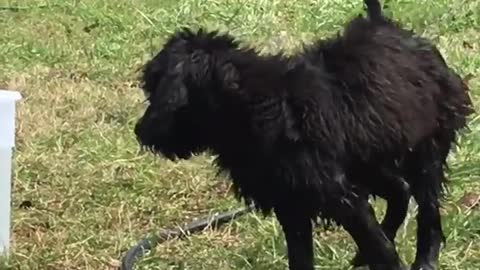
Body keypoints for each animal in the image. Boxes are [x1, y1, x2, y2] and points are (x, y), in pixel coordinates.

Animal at [134, 1, 472, 268]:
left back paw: (425, 260)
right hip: (367, 161)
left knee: (427, 211)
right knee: (399, 190)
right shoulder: (292, 203)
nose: (139, 132)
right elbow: (301, 258)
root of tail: (386, 25)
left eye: (155, 90)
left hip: (425, 149)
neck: (254, 107)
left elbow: (381, 249)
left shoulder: (340, 196)